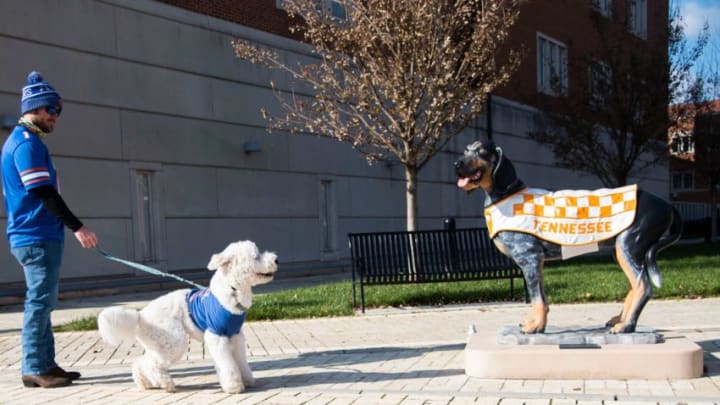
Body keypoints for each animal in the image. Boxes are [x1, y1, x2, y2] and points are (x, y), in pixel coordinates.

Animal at [100, 240, 280, 392]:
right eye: (256, 256)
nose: (277, 259)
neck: (233, 290)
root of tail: (140, 315)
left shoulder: (235, 335)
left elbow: (241, 360)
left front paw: (247, 380)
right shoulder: (217, 336)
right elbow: (227, 364)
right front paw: (233, 386)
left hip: (158, 343)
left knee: (141, 362)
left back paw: (145, 383)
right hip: (173, 340)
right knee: (153, 365)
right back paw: (167, 384)